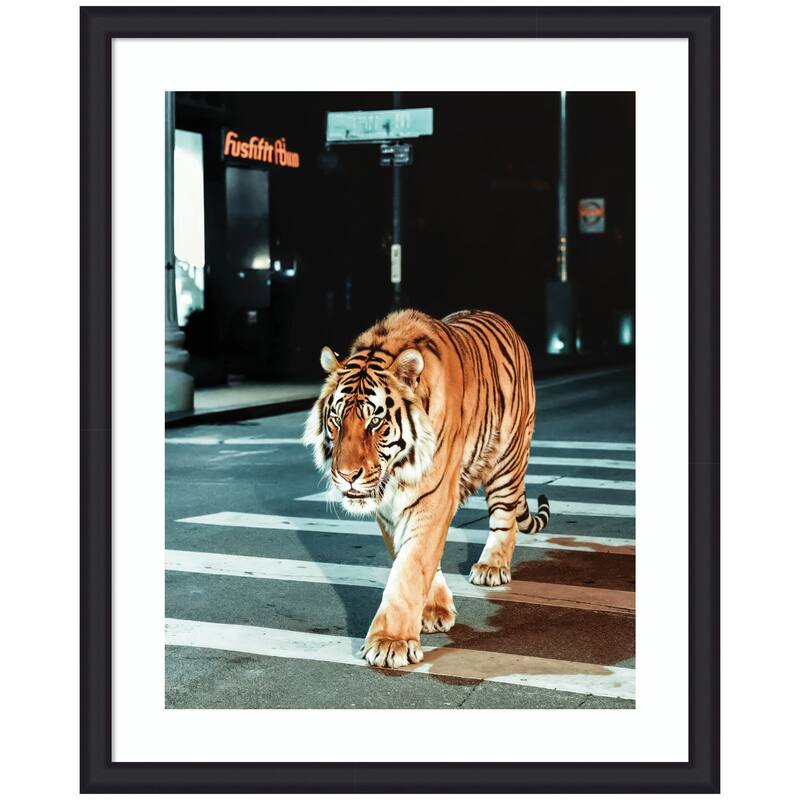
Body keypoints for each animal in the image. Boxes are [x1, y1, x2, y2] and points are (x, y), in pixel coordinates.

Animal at [304, 308, 550, 669]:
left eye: (375, 422)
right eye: (336, 419)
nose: (347, 475)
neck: (397, 471)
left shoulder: (432, 497)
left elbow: (411, 565)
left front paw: (389, 642)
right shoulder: (388, 508)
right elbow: (412, 557)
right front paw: (433, 611)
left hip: (507, 458)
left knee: (505, 518)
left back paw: (492, 566)